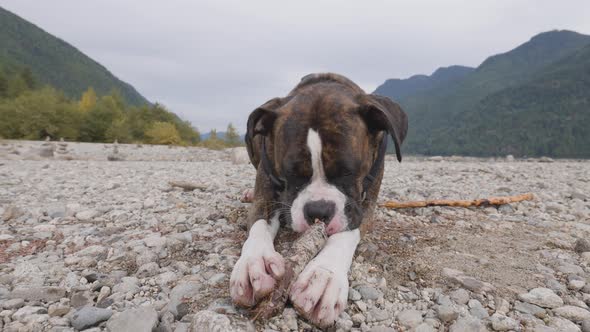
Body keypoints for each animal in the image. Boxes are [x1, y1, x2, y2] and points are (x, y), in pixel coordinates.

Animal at [230, 72, 408, 326]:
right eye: (291, 174)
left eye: (348, 172)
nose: (318, 210)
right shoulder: (265, 195)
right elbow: (260, 224)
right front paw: (254, 262)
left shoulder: (363, 207)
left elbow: (345, 233)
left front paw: (324, 276)